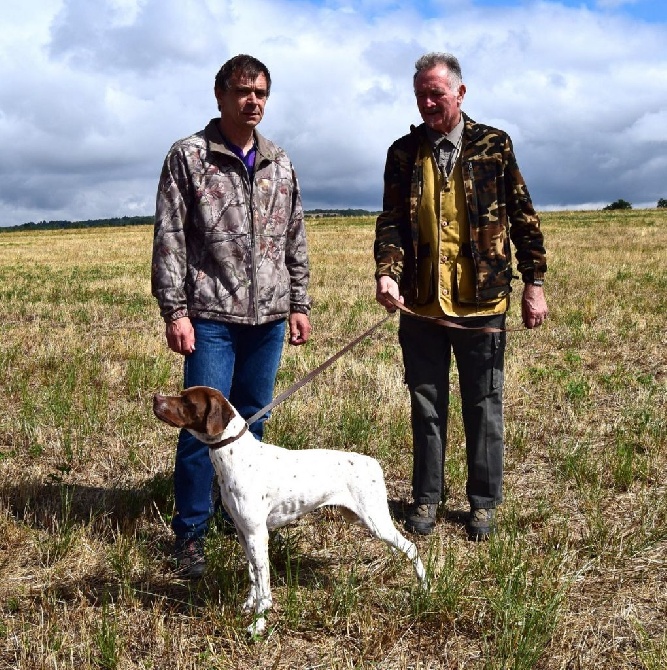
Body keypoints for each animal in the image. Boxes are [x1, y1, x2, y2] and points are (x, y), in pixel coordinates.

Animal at [153, 386, 428, 636]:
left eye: (187, 401)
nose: (156, 398)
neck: (236, 456)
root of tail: (372, 463)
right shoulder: (244, 533)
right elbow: (253, 575)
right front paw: (249, 605)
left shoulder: (257, 534)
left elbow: (264, 587)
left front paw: (259, 623)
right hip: (361, 518)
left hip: (375, 520)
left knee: (411, 547)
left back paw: (423, 588)